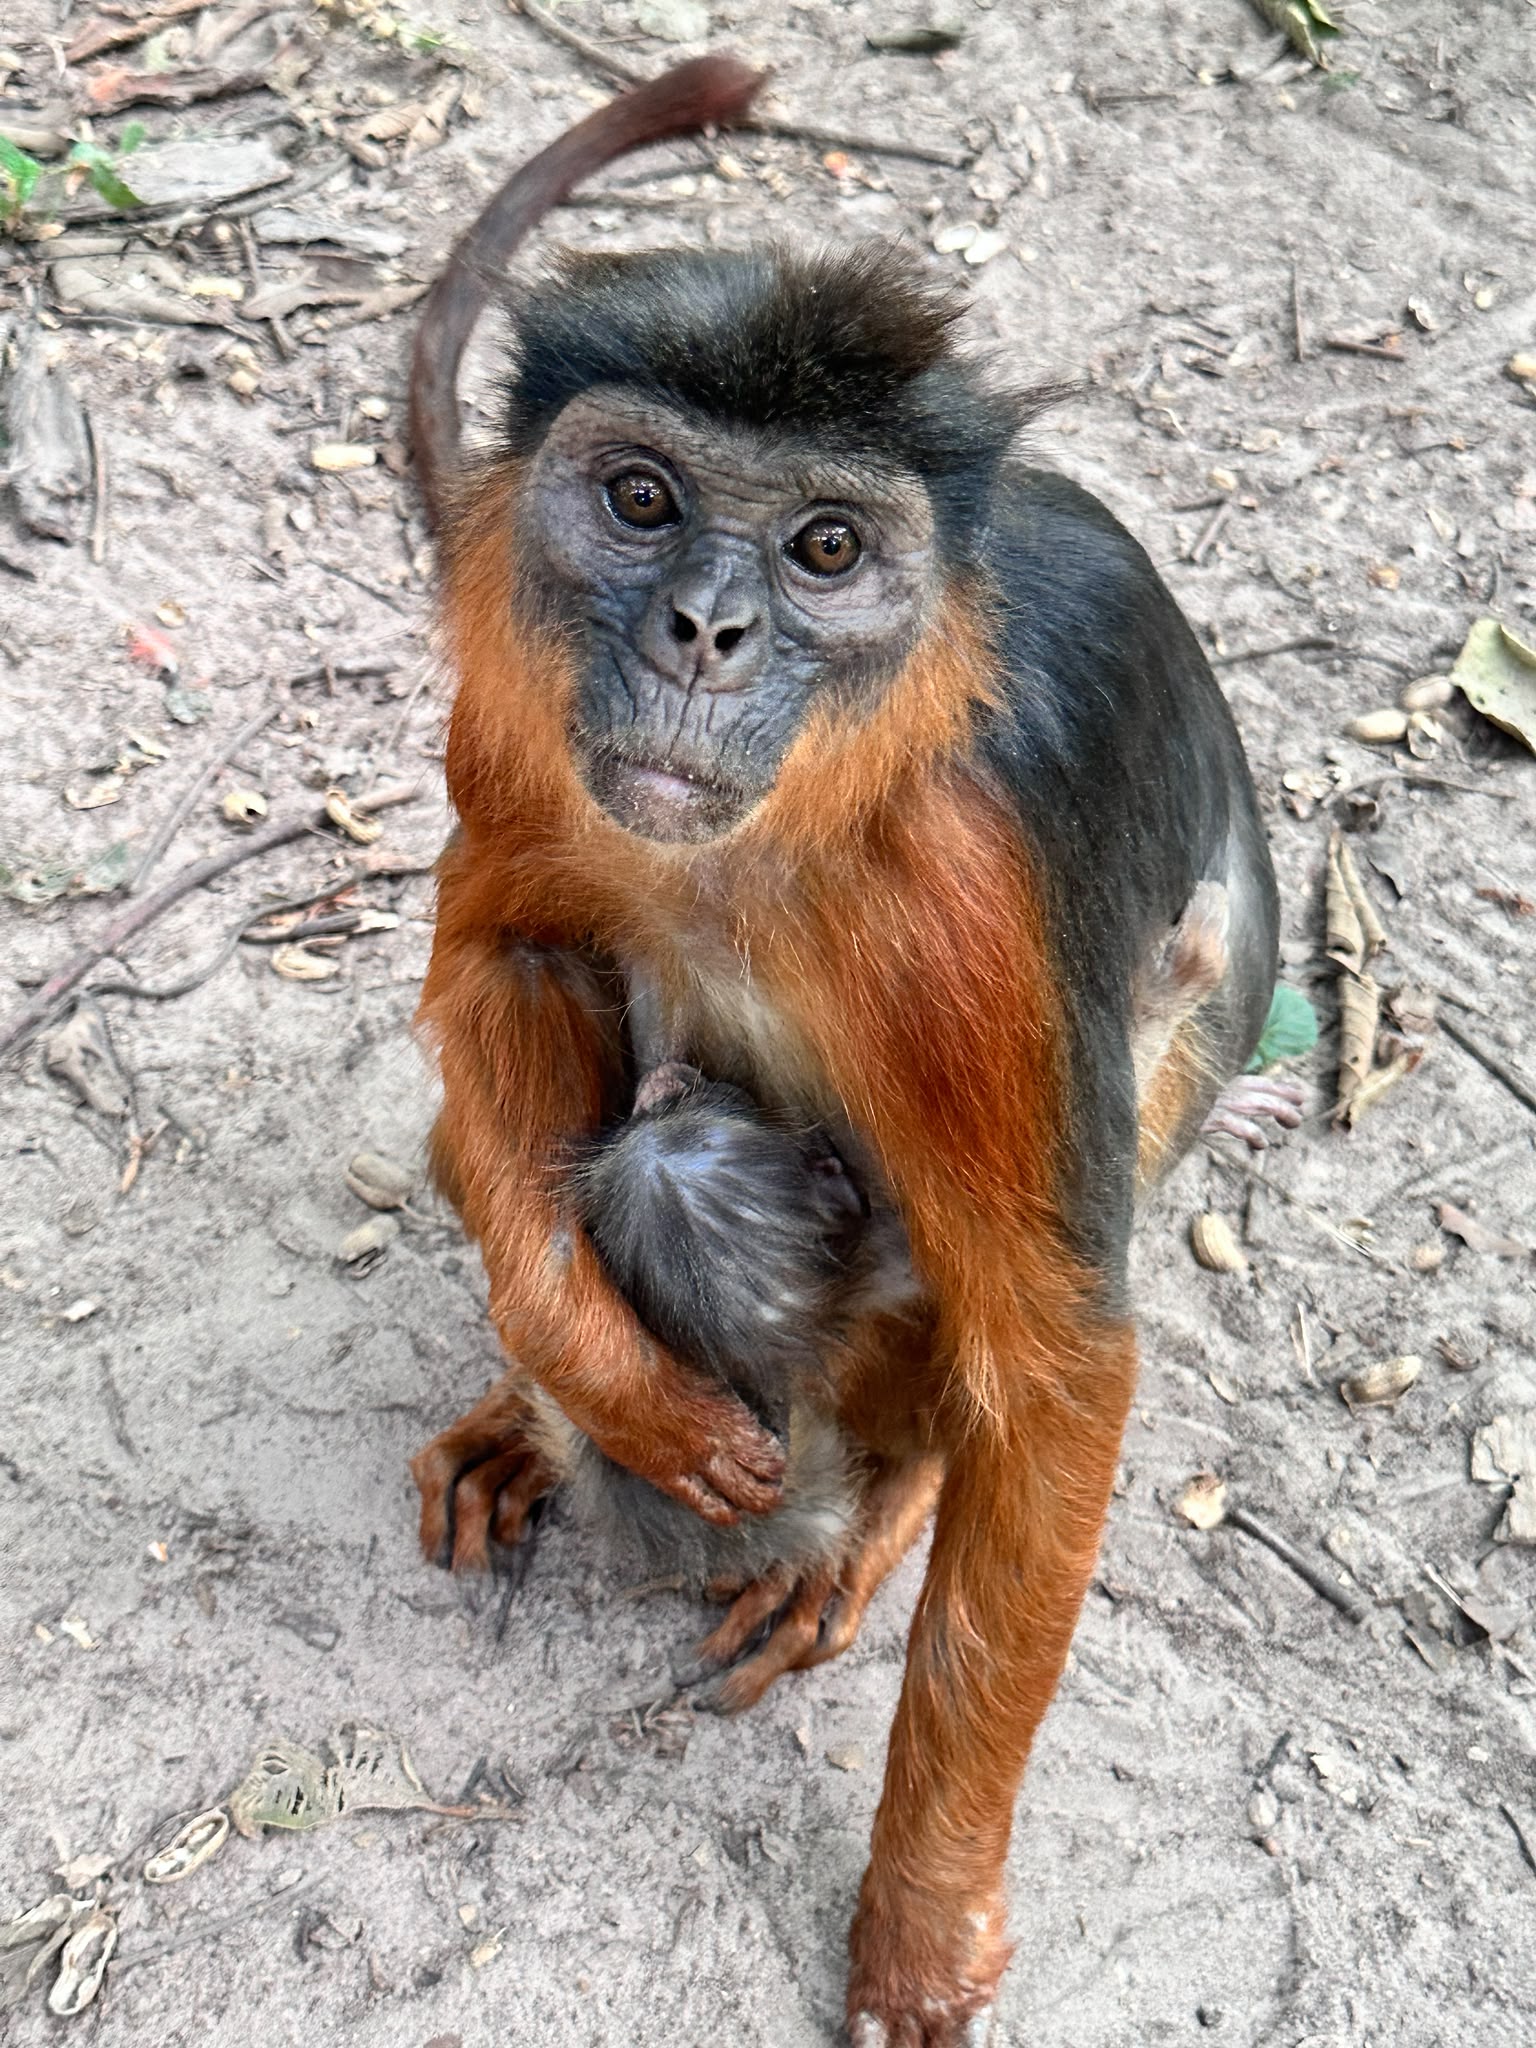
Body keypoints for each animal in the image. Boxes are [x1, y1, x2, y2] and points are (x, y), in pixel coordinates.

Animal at [402, 53, 1304, 2046]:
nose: (705, 632)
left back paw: (879, 1505)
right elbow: (506, 948)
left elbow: (1057, 1366)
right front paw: (596, 1373)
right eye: (642, 498)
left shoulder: (970, 885)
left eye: (826, 549)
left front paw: (918, 1909)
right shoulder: (520, 689)